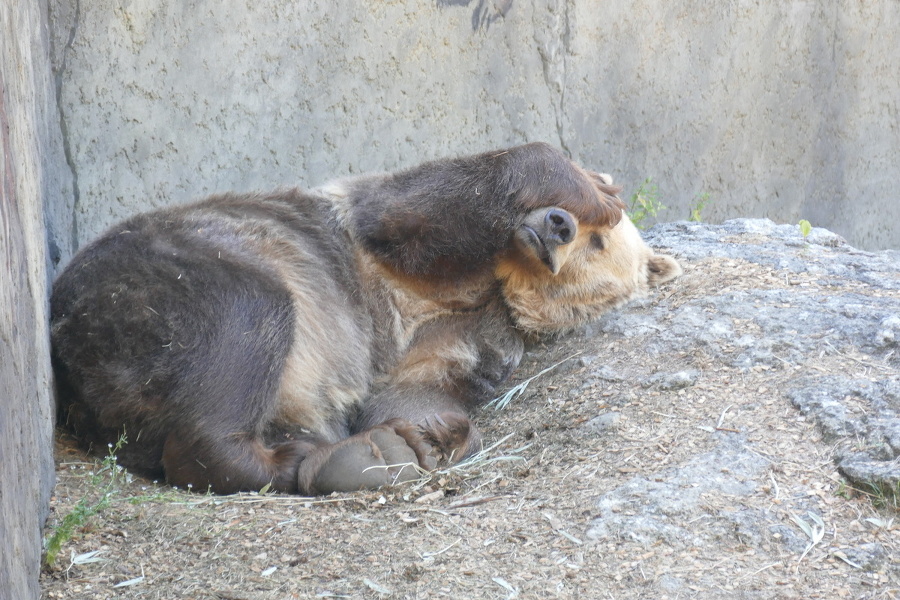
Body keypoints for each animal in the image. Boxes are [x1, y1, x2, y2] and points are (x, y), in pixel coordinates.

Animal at [49, 143, 680, 494]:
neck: (499, 282)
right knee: (249, 312)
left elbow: (418, 387)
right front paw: (593, 184)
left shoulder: (467, 332)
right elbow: (416, 208)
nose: (557, 224)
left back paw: (353, 457)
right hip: (160, 271)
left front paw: (433, 434)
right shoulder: (391, 243)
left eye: (598, 245)